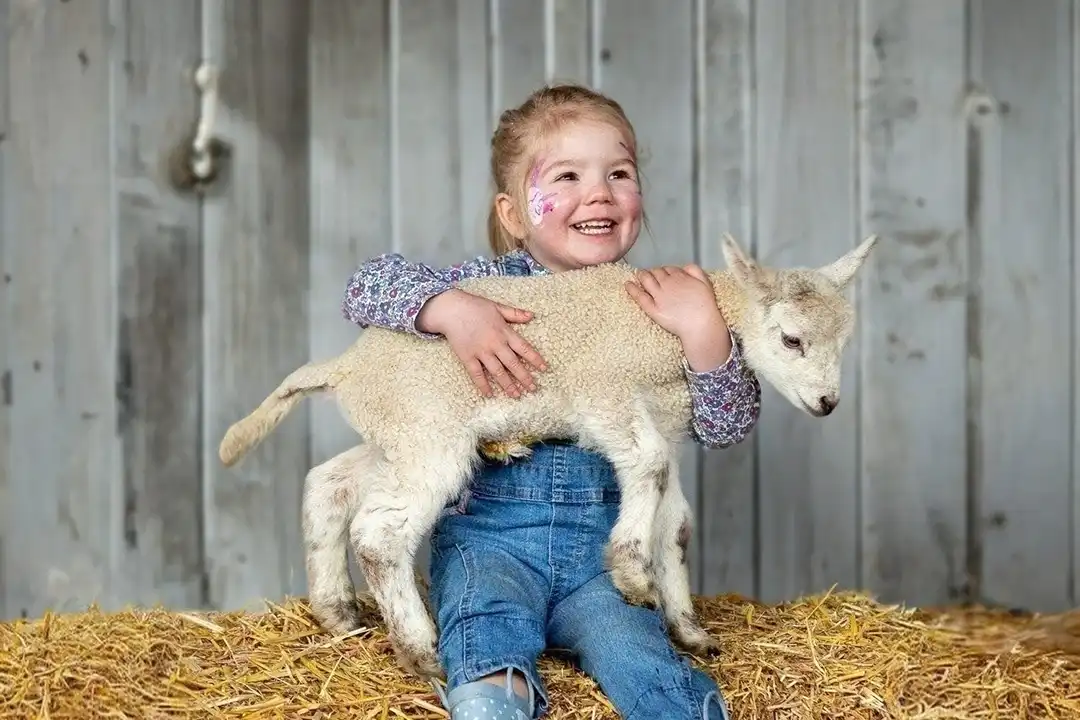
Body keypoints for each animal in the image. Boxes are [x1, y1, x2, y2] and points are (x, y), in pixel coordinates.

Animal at [217, 232, 878, 678]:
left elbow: (676, 521)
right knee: (380, 536)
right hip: (428, 435)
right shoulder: (603, 394)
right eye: (792, 340)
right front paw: (630, 570)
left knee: (327, 485)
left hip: (399, 436)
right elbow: (648, 467)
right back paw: (420, 651)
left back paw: (335, 612)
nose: (827, 404)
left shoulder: (666, 424)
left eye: (846, 342)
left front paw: (686, 627)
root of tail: (347, 368)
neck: (665, 338)